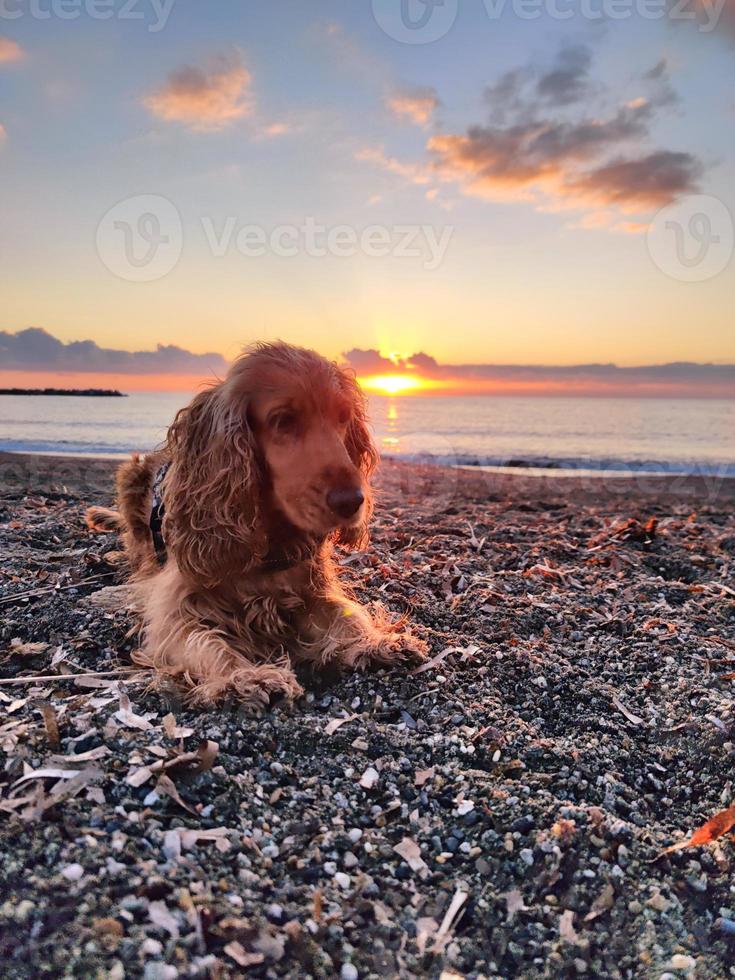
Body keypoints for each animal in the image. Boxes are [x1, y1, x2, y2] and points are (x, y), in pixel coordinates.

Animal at [86, 340, 428, 708]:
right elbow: (204, 642)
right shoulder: (176, 608)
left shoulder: (313, 588)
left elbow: (348, 615)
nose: (352, 501)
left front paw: (376, 642)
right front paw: (244, 677)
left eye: (343, 417)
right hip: (130, 475)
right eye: (283, 420)